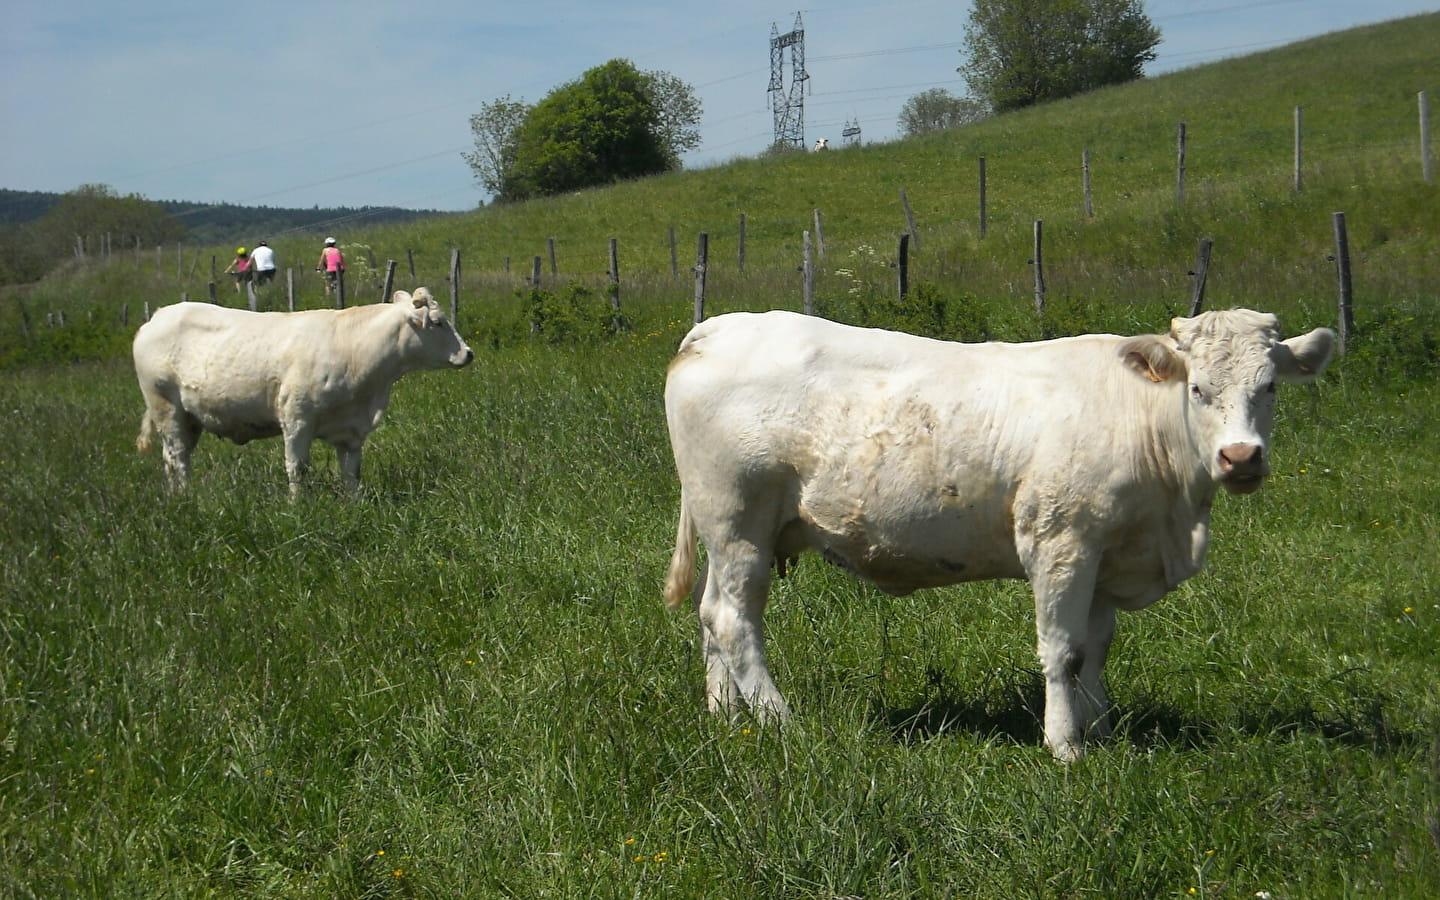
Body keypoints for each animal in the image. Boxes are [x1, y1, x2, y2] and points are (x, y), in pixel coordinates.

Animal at [135, 288, 475, 495]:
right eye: (438, 322)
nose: (468, 353)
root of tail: (159, 315)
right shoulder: (297, 418)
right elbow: (297, 468)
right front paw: (296, 506)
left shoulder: (351, 429)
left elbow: (352, 472)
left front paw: (356, 505)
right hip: (166, 408)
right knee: (178, 458)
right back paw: (188, 496)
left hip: (189, 419)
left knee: (172, 458)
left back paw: (178, 497)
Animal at [665, 308, 1336, 760]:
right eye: (1197, 389)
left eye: (1269, 387)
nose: (1241, 457)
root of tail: (716, 328)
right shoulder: (1061, 542)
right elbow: (1063, 650)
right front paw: (1064, 744)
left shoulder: (1108, 551)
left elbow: (1097, 648)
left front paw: (1101, 729)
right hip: (738, 521)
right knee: (735, 620)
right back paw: (780, 721)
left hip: (729, 531)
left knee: (711, 613)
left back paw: (727, 717)